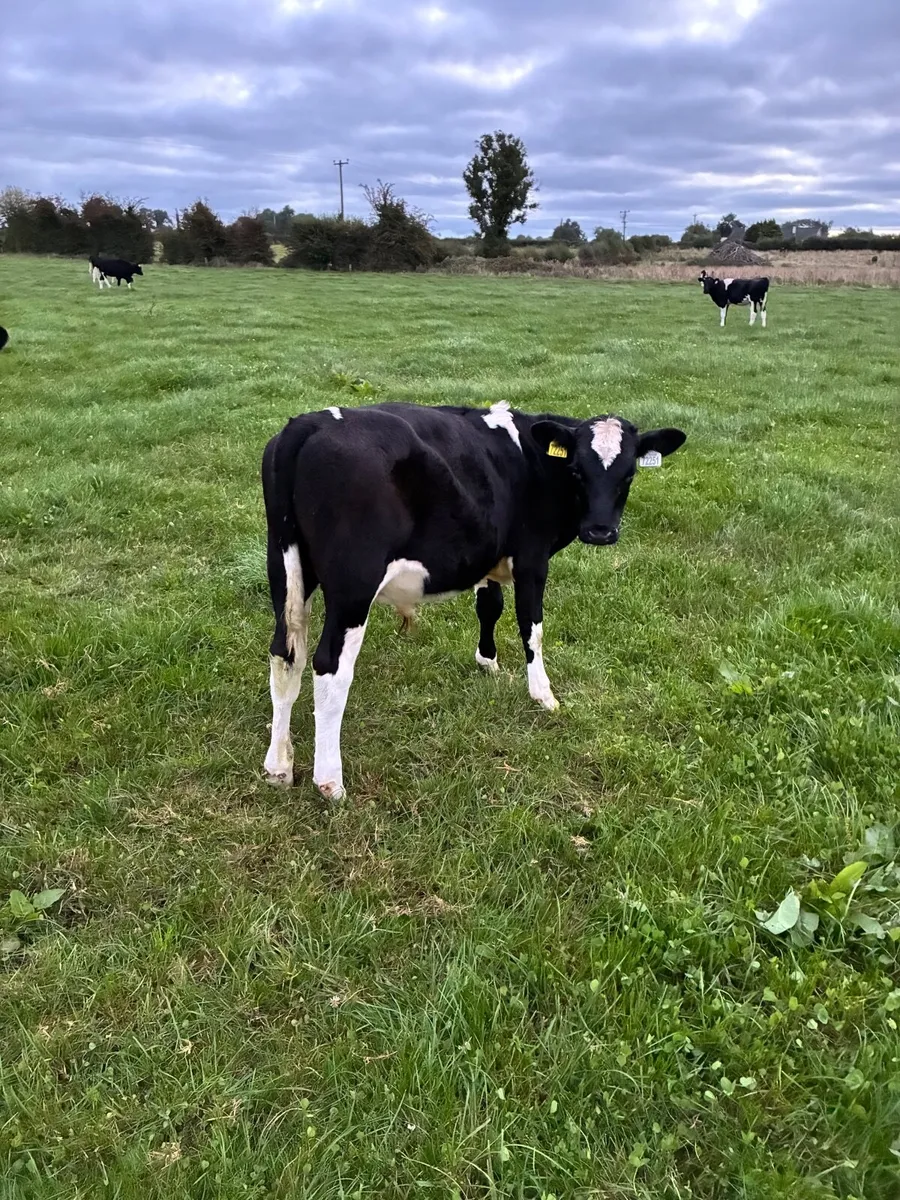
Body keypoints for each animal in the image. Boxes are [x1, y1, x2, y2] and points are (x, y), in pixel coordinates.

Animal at [261, 400, 686, 799]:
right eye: (578, 470)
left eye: (628, 474)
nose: (600, 531)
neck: (535, 461)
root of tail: (310, 423)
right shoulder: (532, 559)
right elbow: (531, 626)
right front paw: (543, 695)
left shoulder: (485, 555)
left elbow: (489, 606)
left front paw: (488, 661)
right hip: (353, 585)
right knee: (329, 667)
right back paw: (330, 781)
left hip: (286, 569)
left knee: (285, 654)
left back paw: (279, 766)